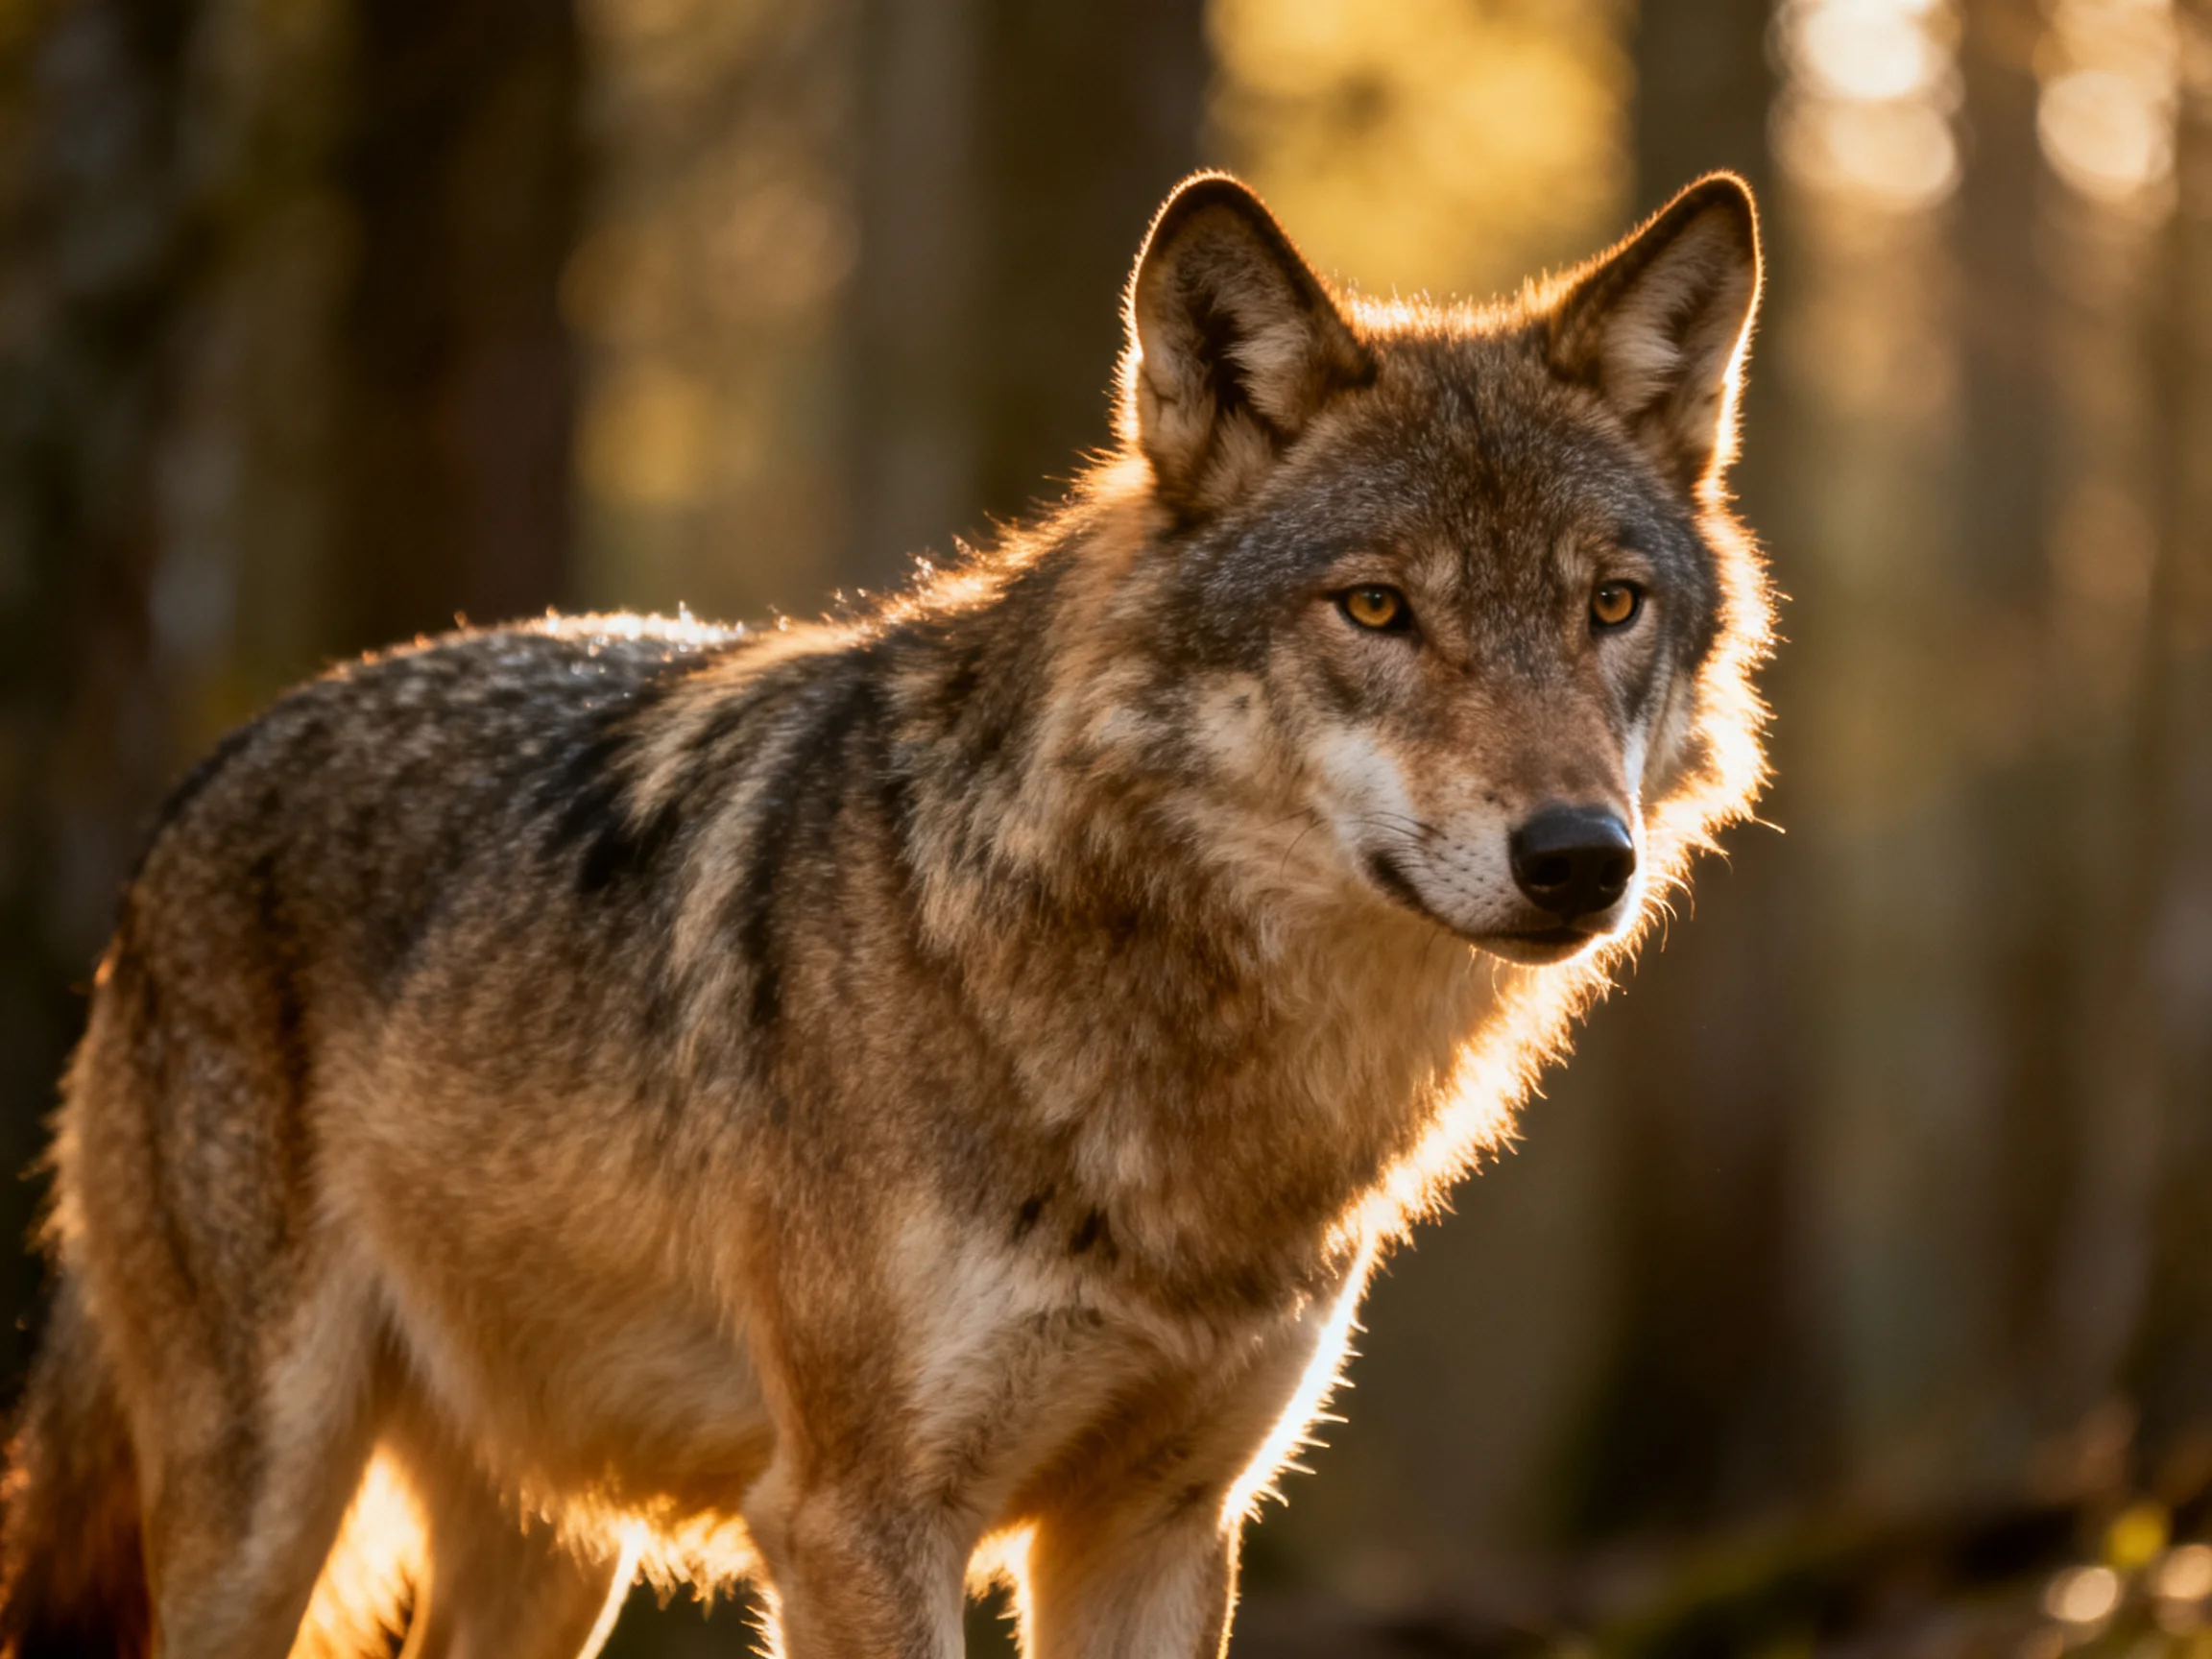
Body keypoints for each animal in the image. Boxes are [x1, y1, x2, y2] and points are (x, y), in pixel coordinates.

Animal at [0, 170, 1768, 1657]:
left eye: (1609, 605)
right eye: (1378, 608)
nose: (1577, 855)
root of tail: (207, 778)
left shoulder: (1158, 1526)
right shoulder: (855, 1519)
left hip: (557, 1550)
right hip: (260, 1508)